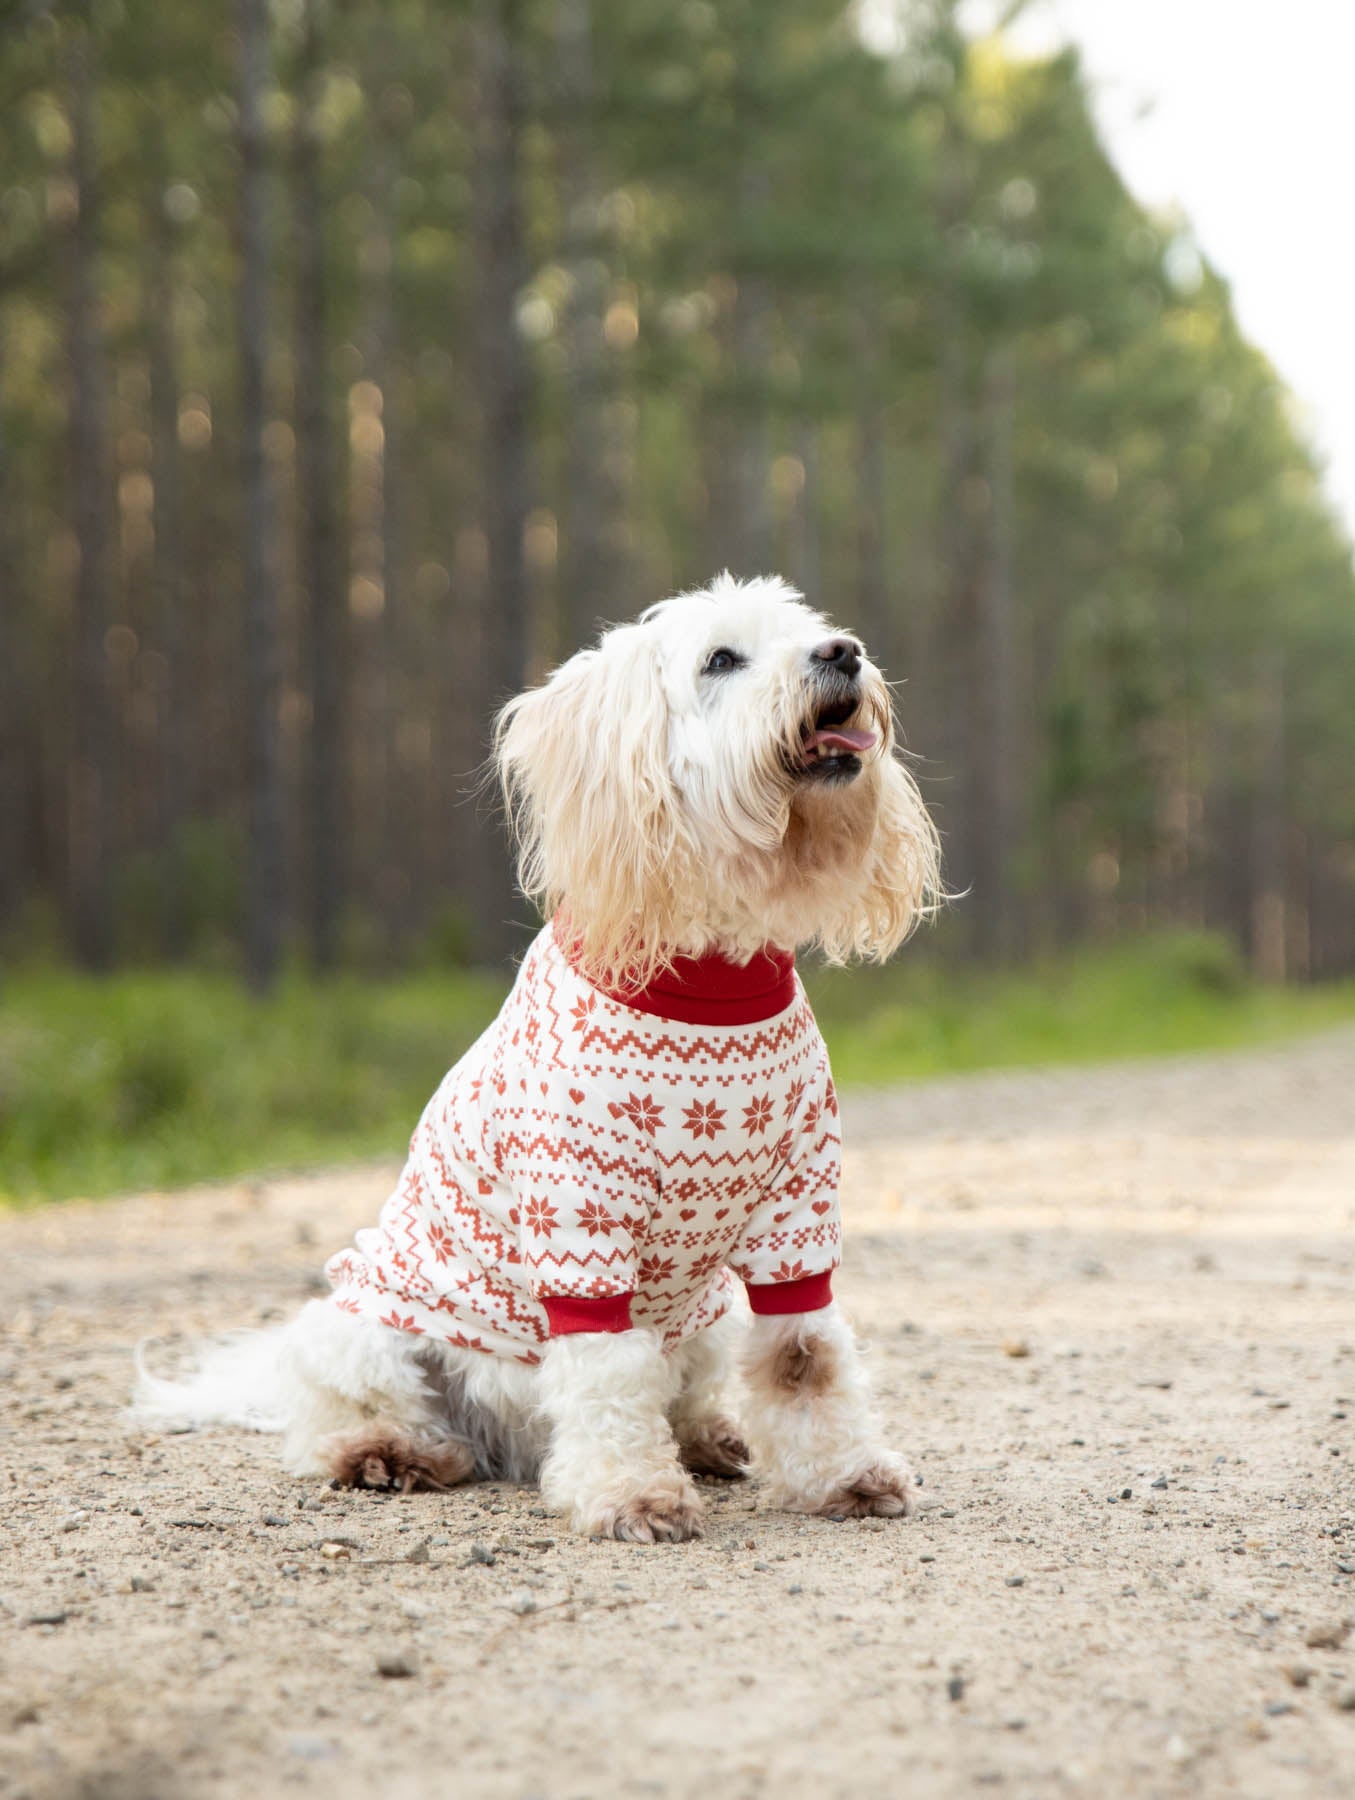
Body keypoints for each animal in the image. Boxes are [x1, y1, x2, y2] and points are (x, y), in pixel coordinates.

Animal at [137, 572, 942, 1533]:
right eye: (720, 659)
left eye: (811, 631)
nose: (844, 653)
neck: (711, 975)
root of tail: (505, 1444)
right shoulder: (580, 1219)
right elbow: (605, 1370)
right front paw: (631, 1492)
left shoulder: (799, 1211)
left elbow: (803, 1354)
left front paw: (845, 1474)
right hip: (365, 1321)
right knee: (346, 1417)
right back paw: (391, 1454)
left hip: (704, 1313)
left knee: (683, 1390)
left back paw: (707, 1439)